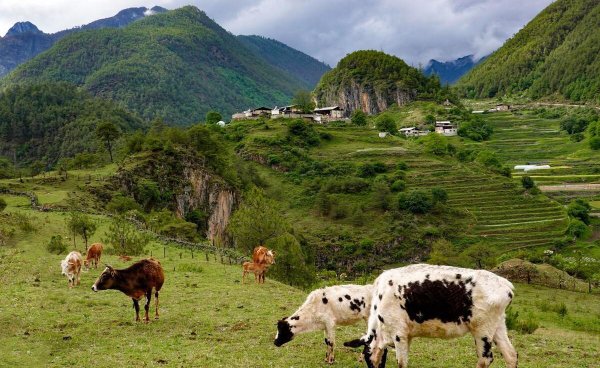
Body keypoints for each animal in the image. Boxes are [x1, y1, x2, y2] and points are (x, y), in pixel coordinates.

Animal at [344, 264, 516, 368]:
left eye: (366, 357)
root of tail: (506, 285)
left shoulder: (399, 333)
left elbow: (401, 362)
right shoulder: (407, 336)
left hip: (483, 329)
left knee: (485, 359)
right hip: (498, 325)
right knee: (511, 355)